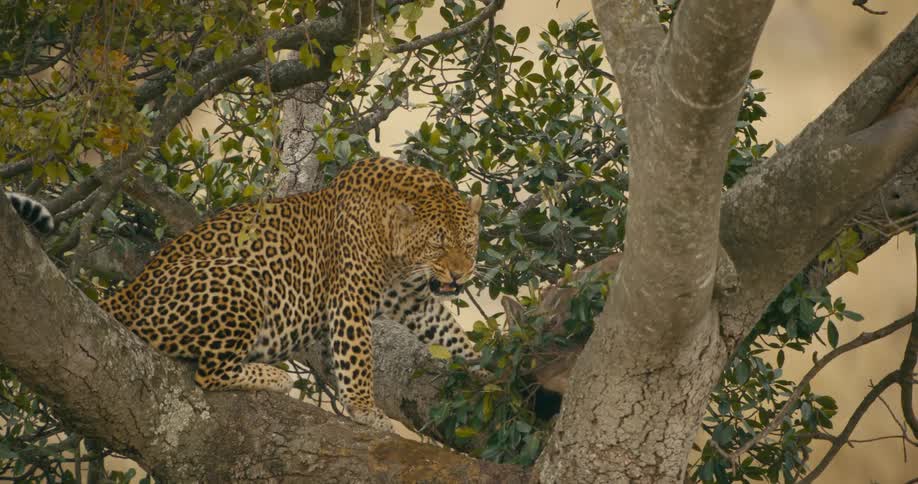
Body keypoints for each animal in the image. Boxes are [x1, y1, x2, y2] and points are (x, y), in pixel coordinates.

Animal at [6, 157, 482, 428]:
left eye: (470, 242)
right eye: (438, 243)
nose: (461, 275)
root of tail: (131, 291)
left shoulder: (412, 299)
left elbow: (447, 329)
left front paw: (485, 364)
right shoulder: (350, 299)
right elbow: (358, 359)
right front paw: (366, 410)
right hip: (243, 280)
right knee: (209, 374)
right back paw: (273, 376)